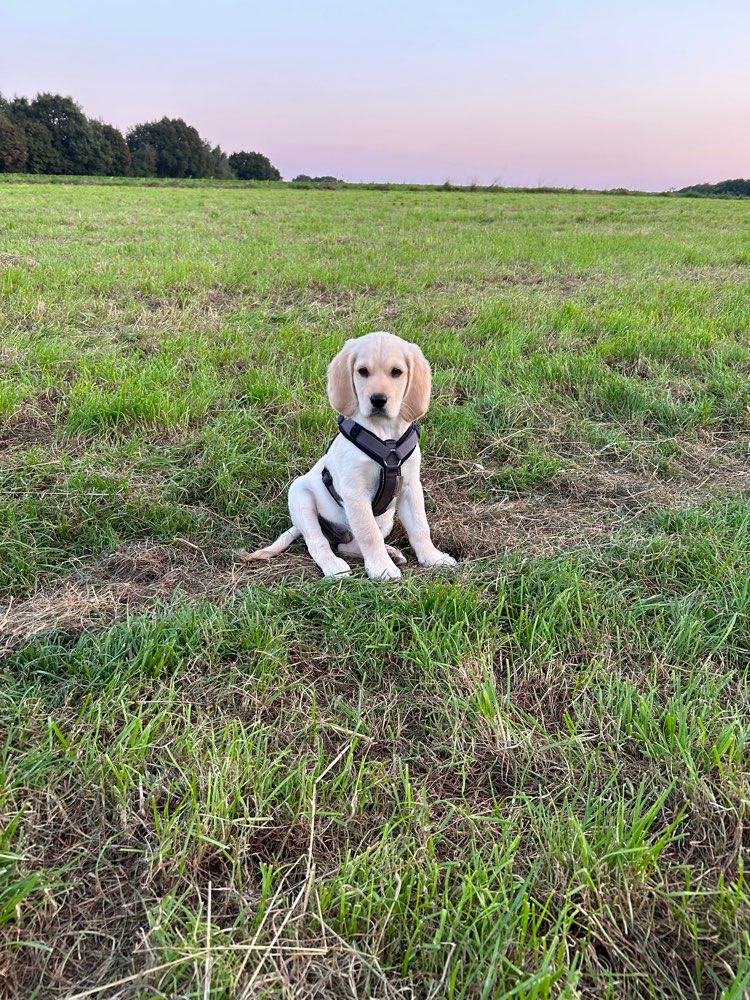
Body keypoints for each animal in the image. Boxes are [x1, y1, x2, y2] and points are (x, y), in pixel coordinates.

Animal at [250, 328, 456, 580]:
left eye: (396, 372)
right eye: (363, 371)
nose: (378, 399)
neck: (386, 437)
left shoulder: (410, 487)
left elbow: (420, 527)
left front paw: (433, 557)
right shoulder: (355, 492)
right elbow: (369, 534)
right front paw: (382, 568)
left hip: (385, 520)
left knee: (347, 544)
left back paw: (391, 552)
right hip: (301, 497)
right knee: (319, 543)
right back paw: (335, 566)